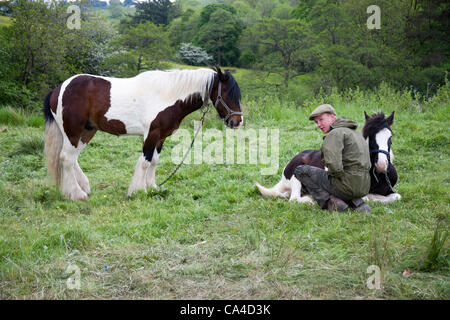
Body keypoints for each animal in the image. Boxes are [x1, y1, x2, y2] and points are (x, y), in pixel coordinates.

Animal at [43, 67, 243, 201]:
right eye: (227, 93)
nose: (238, 122)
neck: (168, 96)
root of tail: (58, 89)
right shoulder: (152, 134)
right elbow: (145, 161)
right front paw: (138, 191)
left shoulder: (162, 136)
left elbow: (154, 161)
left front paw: (152, 187)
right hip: (72, 131)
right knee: (66, 158)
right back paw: (77, 194)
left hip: (86, 131)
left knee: (72, 158)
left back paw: (82, 187)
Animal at [256, 111, 400, 204]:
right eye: (370, 138)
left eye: (390, 137)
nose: (381, 165)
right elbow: (367, 197)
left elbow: (396, 196)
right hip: (296, 175)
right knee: (294, 198)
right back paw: (310, 199)